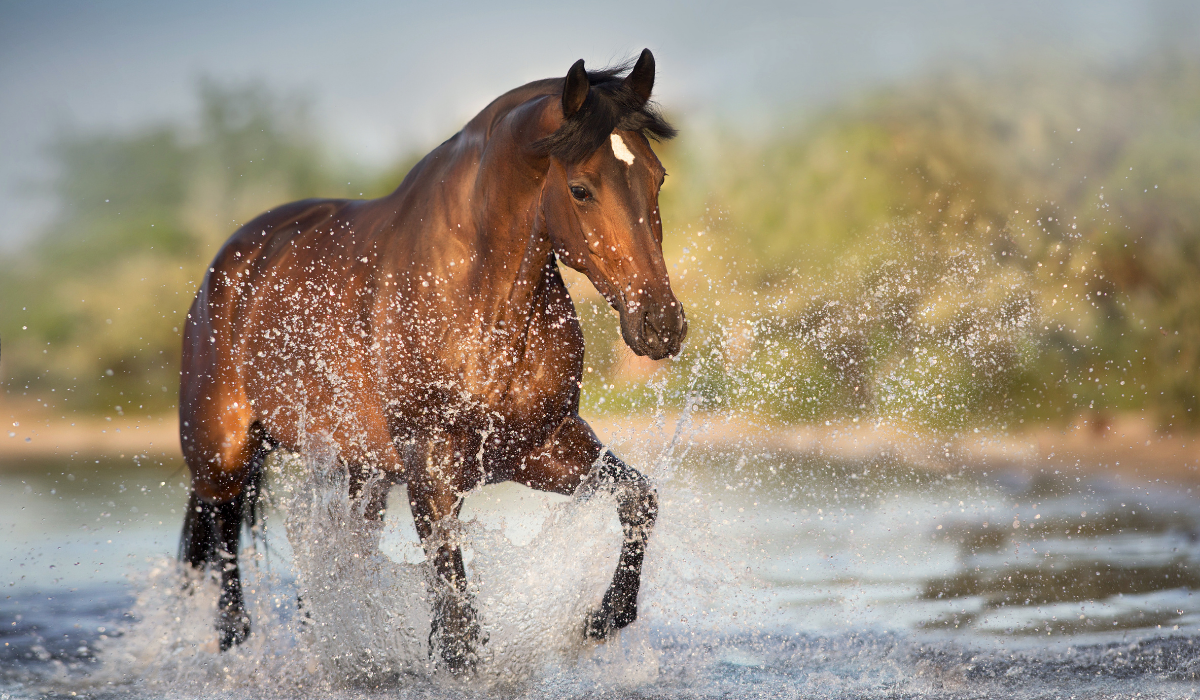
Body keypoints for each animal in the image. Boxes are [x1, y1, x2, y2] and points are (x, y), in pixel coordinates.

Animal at [177, 49, 685, 672]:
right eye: (582, 189)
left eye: (656, 177)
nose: (661, 324)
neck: (478, 302)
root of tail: (231, 263)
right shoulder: (432, 466)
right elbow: (458, 623)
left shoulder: (541, 446)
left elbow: (638, 499)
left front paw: (605, 618)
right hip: (222, 459)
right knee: (225, 559)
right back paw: (237, 648)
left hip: (358, 475)